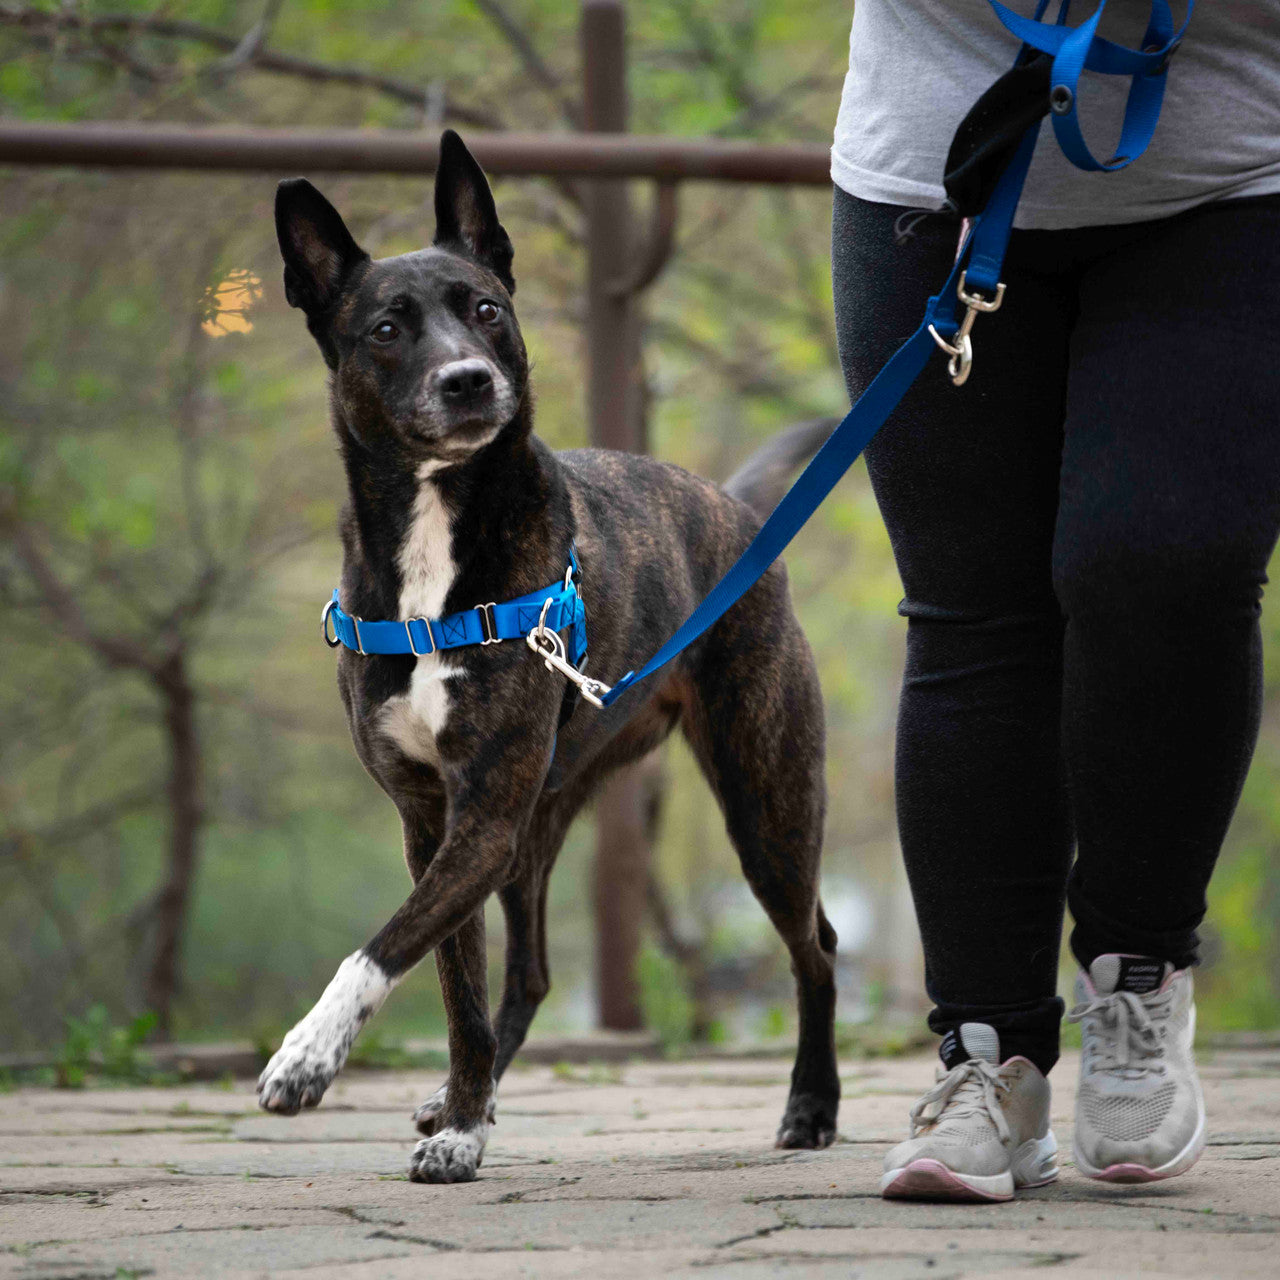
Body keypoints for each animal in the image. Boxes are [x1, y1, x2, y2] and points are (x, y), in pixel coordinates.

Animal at [259, 132, 839, 1187]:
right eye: (386, 329)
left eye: (486, 308)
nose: (468, 381)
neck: (439, 541)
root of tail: (736, 510)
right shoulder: (437, 821)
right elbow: (454, 985)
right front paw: (460, 1122)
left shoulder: (479, 820)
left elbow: (380, 947)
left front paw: (307, 1056)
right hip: (543, 821)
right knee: (526, 975)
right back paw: (474, 1100)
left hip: (765, 798)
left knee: (814, 944)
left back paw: (811, 1108)